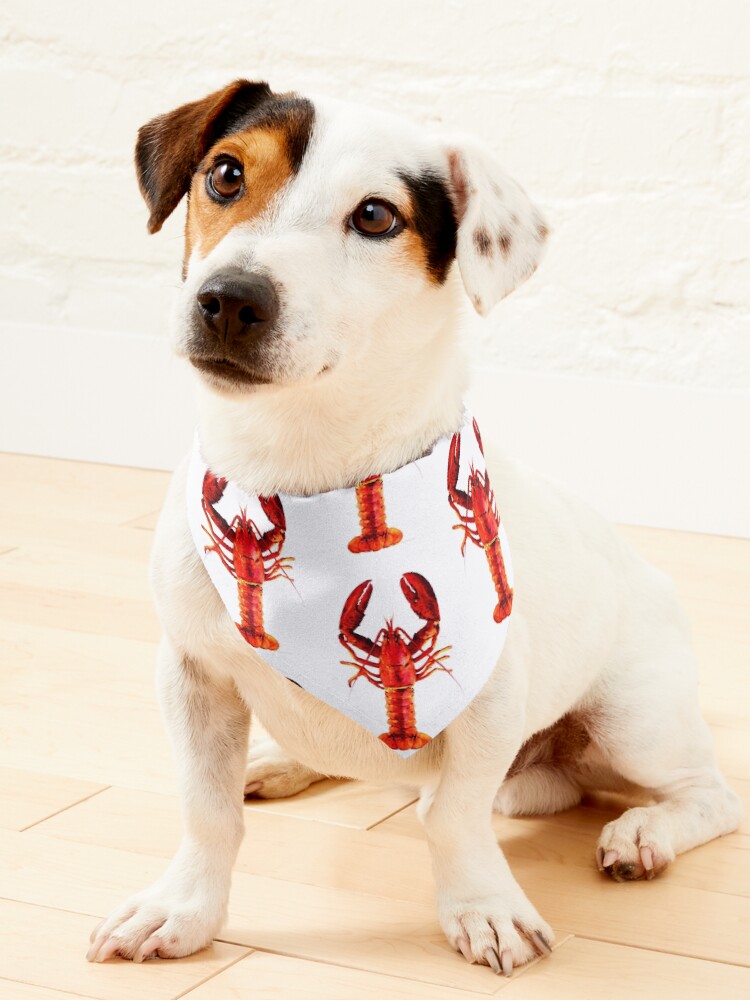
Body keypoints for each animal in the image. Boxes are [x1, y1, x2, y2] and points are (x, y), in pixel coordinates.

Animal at [85, 80, 744, 976]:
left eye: (375, 216)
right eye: (225, 174)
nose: (229, 299)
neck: (302, 466)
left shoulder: (489, 696)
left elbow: (454, 816)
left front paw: (483, 908)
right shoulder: (192, 677)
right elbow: (206, 811)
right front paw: (183, 909)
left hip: (634, 720)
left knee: (708, 796)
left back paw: (644, 833)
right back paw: (282, 761)